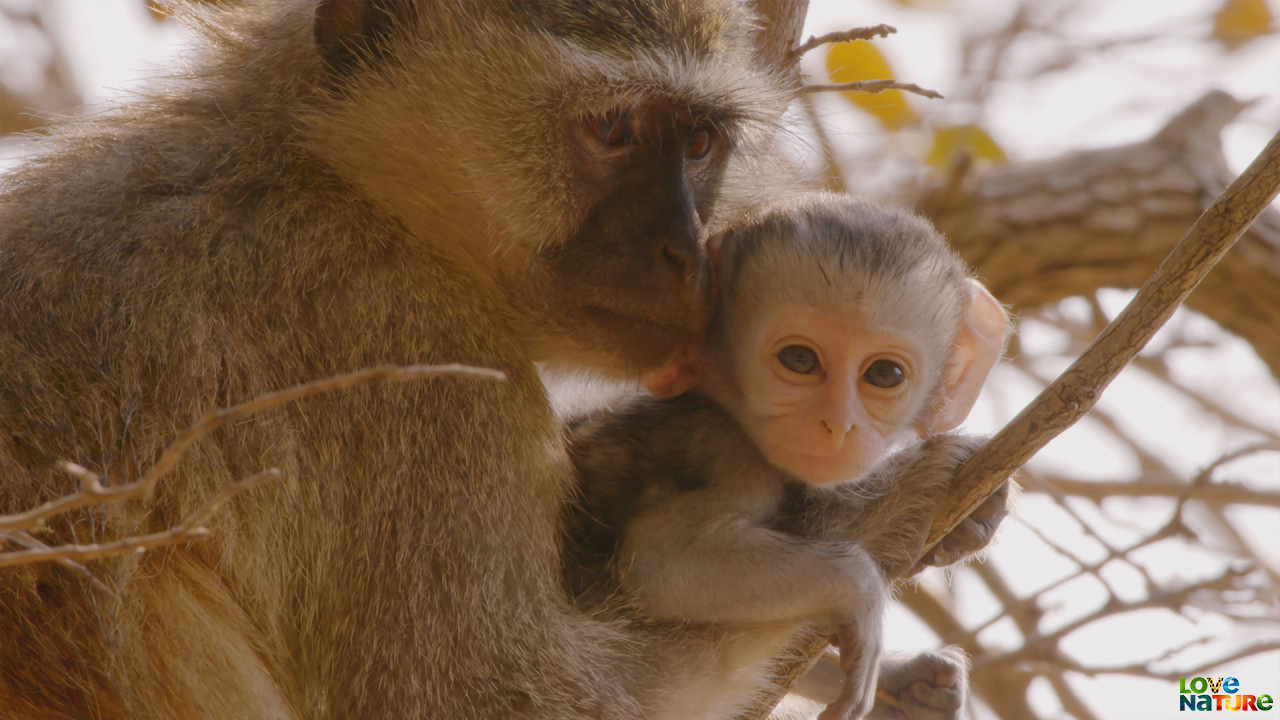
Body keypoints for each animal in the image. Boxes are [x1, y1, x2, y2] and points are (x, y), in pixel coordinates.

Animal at [0, 1, 788, 717]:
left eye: (698, 141)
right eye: (614, 128)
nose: (685, 253)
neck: (337, 180)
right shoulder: (416, 361)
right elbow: (484, 700)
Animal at [565, 193, 1013, 717]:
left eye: (884, 374)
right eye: (799, 360)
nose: (837, 423)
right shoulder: (727, 451)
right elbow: (665, 561)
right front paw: (859, 587)